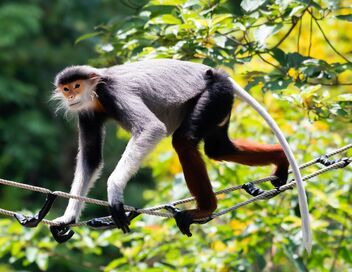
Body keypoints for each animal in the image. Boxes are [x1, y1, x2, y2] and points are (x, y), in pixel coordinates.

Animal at [35, 59, 310, 251]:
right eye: (66, 88)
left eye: (76, 86)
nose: (71, 95)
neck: (96, 92)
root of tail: (217, 73)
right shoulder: (87, 110)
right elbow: (91, 159)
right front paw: (68, 218)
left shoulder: (112, 93)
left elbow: (151, 129)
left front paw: (114, 190)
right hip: (222, 100)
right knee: (219, 148)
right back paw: (280, 159)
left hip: (214, 94)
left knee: (184, 142)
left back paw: (205, 208)